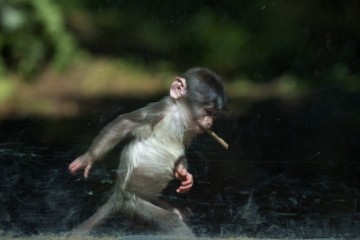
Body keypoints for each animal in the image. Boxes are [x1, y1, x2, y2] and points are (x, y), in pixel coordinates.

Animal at [68, 66, 226, 237]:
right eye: (208, 111)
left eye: (215, 114)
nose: (210, 123)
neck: (178, 118)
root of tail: (118, 195)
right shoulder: (160, 110)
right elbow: (124, 122)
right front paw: (88, 158)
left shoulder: (190, 131)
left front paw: (185, 176)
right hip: (134, 204)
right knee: (171, 220)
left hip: (152, 200)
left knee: (181, 213)